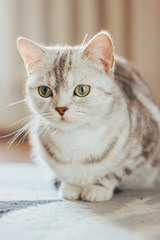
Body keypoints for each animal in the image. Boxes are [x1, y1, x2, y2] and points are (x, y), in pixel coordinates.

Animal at [17, 31, 160, 202]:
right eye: (44, 91)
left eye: (82, 90)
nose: (61, 109)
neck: (76, 141)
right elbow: (63, 172)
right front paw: (69, 186)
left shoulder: (146, 145)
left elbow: (116, 172)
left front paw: (98, 188)